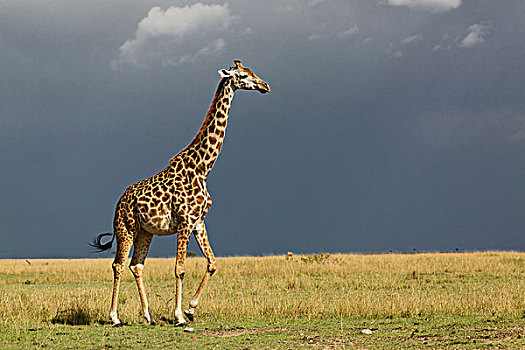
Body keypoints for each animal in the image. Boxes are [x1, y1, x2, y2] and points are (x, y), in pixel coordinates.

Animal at [89, 59, 270, 326]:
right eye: (243, 75)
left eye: (252, 71)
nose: (265, 85)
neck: (203, 168)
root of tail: (119, 201)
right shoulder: (184, 222)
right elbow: (180, 269)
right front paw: (179, 316)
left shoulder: (199, 221)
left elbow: (212, 263)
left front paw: (191, 309)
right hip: (125, 228)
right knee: (118, 265)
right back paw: (114, 317)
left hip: (145, 232)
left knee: (136, 265)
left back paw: (149, 316)